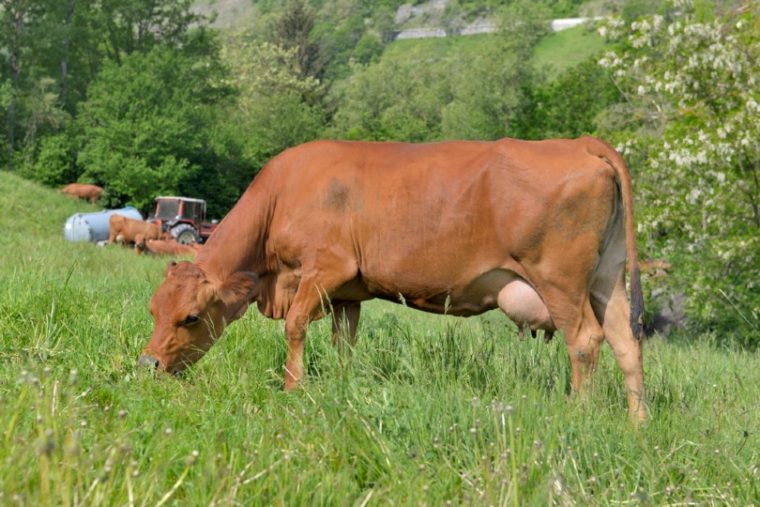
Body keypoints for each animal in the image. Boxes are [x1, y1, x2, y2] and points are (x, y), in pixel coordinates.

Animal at [138, 137, 648, 422]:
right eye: (153, 309)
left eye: (190, 317)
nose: (148, 365)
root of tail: (578, 141)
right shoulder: (348, 294)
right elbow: (344, 345)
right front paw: (339, 386)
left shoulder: (326, 269)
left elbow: (296, 326)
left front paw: (292, 389)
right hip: (607, 278)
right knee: (626, 341)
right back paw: (637, 420)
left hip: (561, 279)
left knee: (585, 340)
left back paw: (577, 412)